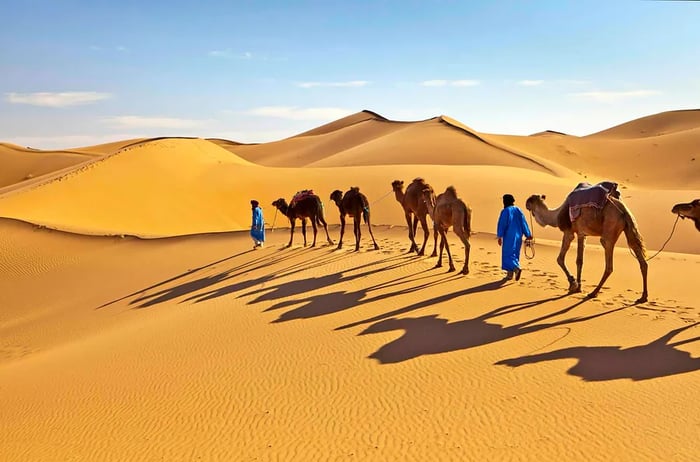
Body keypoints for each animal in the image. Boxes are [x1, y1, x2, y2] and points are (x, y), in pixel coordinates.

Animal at [524, 192, 652, 304]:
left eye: (530, 202)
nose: (525, 204)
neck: (556, 215)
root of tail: (624, 210)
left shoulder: (570, 232)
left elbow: (562, 259)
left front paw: (573, 284)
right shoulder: (583, 234)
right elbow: (580, 261)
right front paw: (578, 287)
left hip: (610, 229)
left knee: (609, 264)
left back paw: (593, 293)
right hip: (629, 229)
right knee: (640, 257)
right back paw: (643, 297)